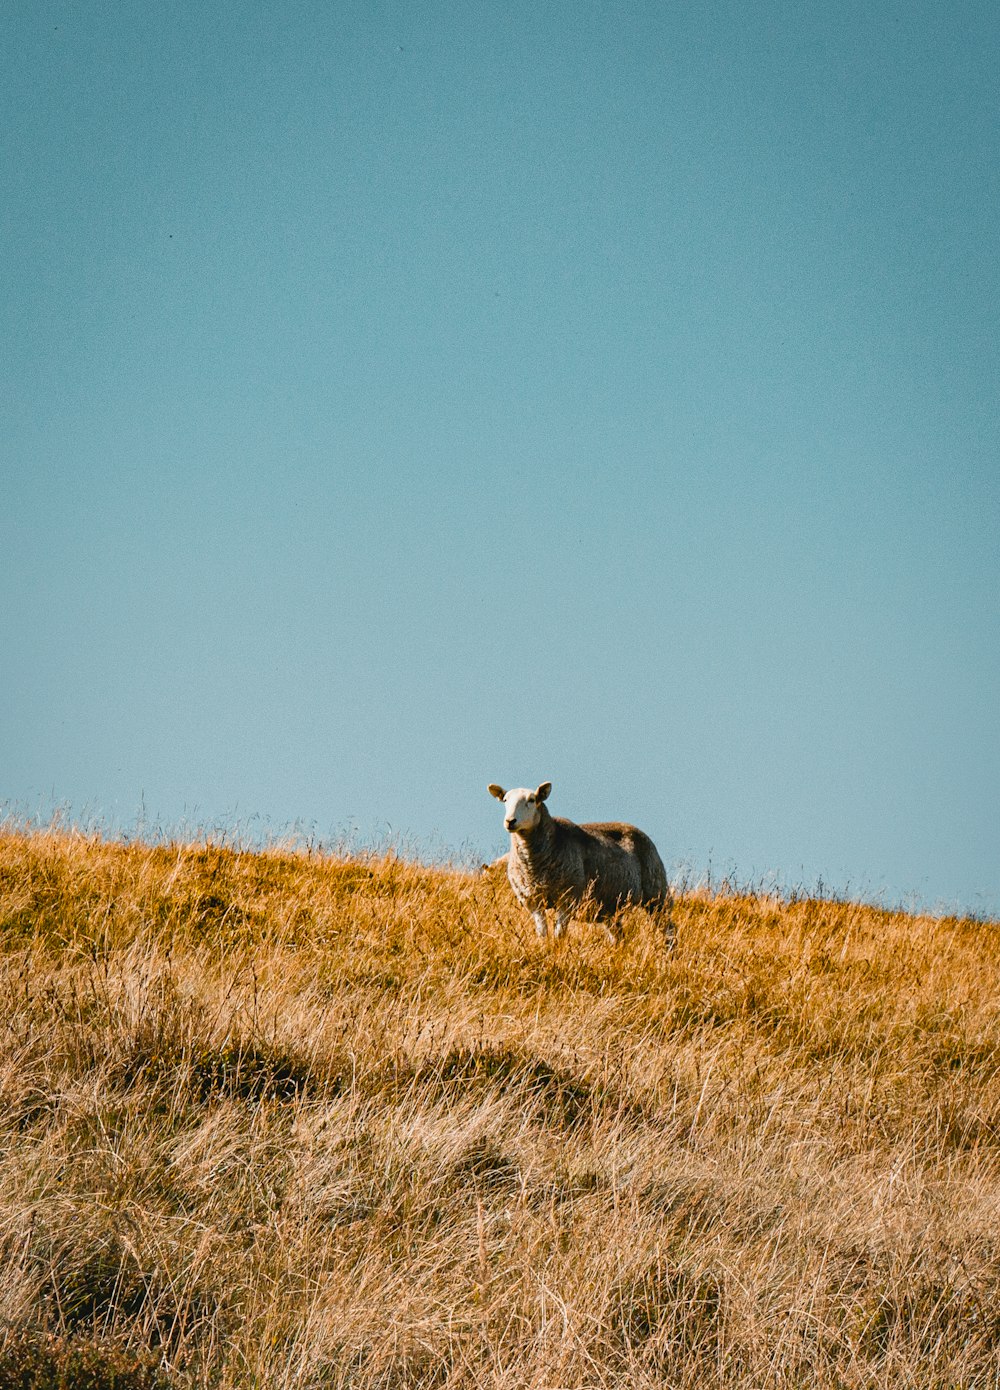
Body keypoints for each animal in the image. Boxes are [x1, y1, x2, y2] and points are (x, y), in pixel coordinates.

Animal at [486, 783, 673, 945]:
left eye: (532, 800)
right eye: (505, 800)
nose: (510, 821)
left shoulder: (567, 899)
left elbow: (559, 934)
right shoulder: (534, 901)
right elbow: (542, 933)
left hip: (657, 895)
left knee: (669, 930)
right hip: (610, 908)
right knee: (618, 936)